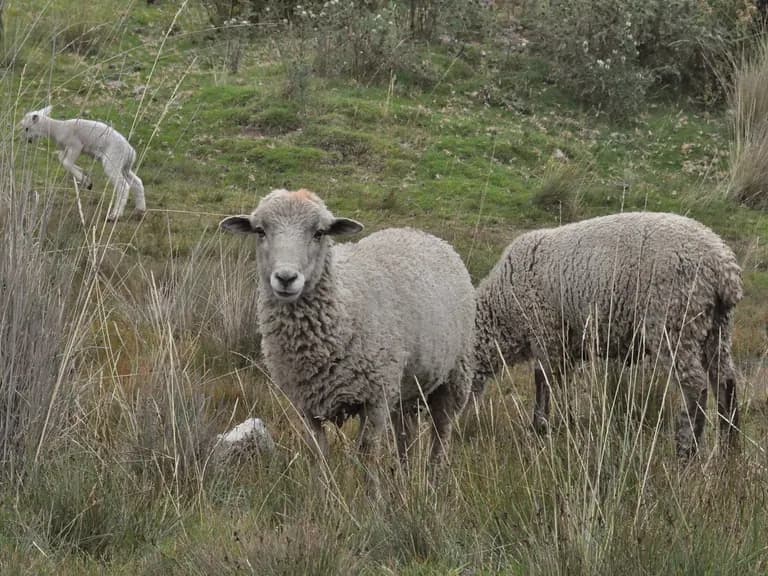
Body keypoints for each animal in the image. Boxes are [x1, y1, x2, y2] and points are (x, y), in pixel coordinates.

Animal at [219, 188, 475, 471]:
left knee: (442, 430)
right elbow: (320, 455)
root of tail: (422, 233)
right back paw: (405, 474)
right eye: (260, 230)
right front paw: (324, 483)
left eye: (319, 233)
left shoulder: (375, 399)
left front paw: (369, 484)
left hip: (455, 375)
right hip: (407, 385)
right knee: (404, 433)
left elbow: (367, 457)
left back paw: (434, 474)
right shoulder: (306, 406)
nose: (286, 278)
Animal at [473, 211, 743, 458]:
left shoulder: (547, 334)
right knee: (725, 381)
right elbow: (563, 387)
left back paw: (686, 452)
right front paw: (567, 425)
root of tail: (722, 267)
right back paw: (729, 450)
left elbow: (544, 382)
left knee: (696, 386)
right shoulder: (566, 347)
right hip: (716, 327)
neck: (502, 309)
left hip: (674, 321)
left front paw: (539, 428)